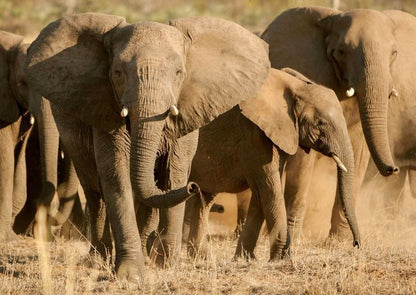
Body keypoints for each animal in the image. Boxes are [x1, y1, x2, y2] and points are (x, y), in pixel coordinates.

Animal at [26, 13, 272, 282]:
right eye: (117, 72)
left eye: (179, 72)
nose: (194, 187)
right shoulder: (105, 107)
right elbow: (117, 175)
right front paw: (130, 275)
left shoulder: (186, 111)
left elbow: (173, 173)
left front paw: (165, 264)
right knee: (94, 190)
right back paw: (98, 259)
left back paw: (146, 253)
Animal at [180, 67, 360, 262]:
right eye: (321, 123)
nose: (356, 243)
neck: (295, 86)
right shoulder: (253, 133)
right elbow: (268, 189)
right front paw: (281, 259)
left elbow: (261, 193)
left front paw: (245, 259)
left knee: (204, 197)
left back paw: (200, 257)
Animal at [260, 6, 416, 238]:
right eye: (341, 52)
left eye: (394, 53)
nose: (392, 169)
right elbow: (303, 161)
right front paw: (294, 238)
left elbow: (358, 154)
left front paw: (338, 241)